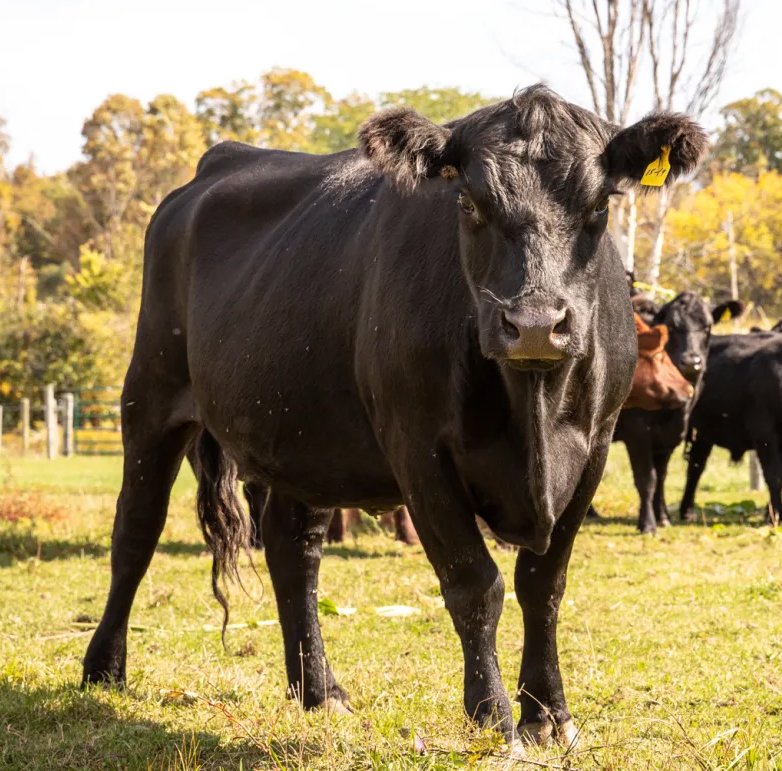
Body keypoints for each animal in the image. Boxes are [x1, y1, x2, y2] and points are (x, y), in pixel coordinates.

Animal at [81, 85, 706, 751]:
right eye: (470, 202)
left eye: (599, 205)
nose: (535, 322)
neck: (534, 409)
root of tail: (217, 164)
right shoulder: (420, 451)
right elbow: (475, 583)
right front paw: (493, 718)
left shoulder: (594, 448)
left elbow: (543, 585)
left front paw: (548, 716)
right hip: (151, 392)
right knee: (136, 531)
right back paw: (103, 669)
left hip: (306, 433)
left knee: (292, 549)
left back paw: (319, 691)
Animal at [680, 332, 782, 525]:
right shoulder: (764, 433)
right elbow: (774, 475)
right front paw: (774, 517)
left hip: (704, 433)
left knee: (695, 466)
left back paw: (686, 511)